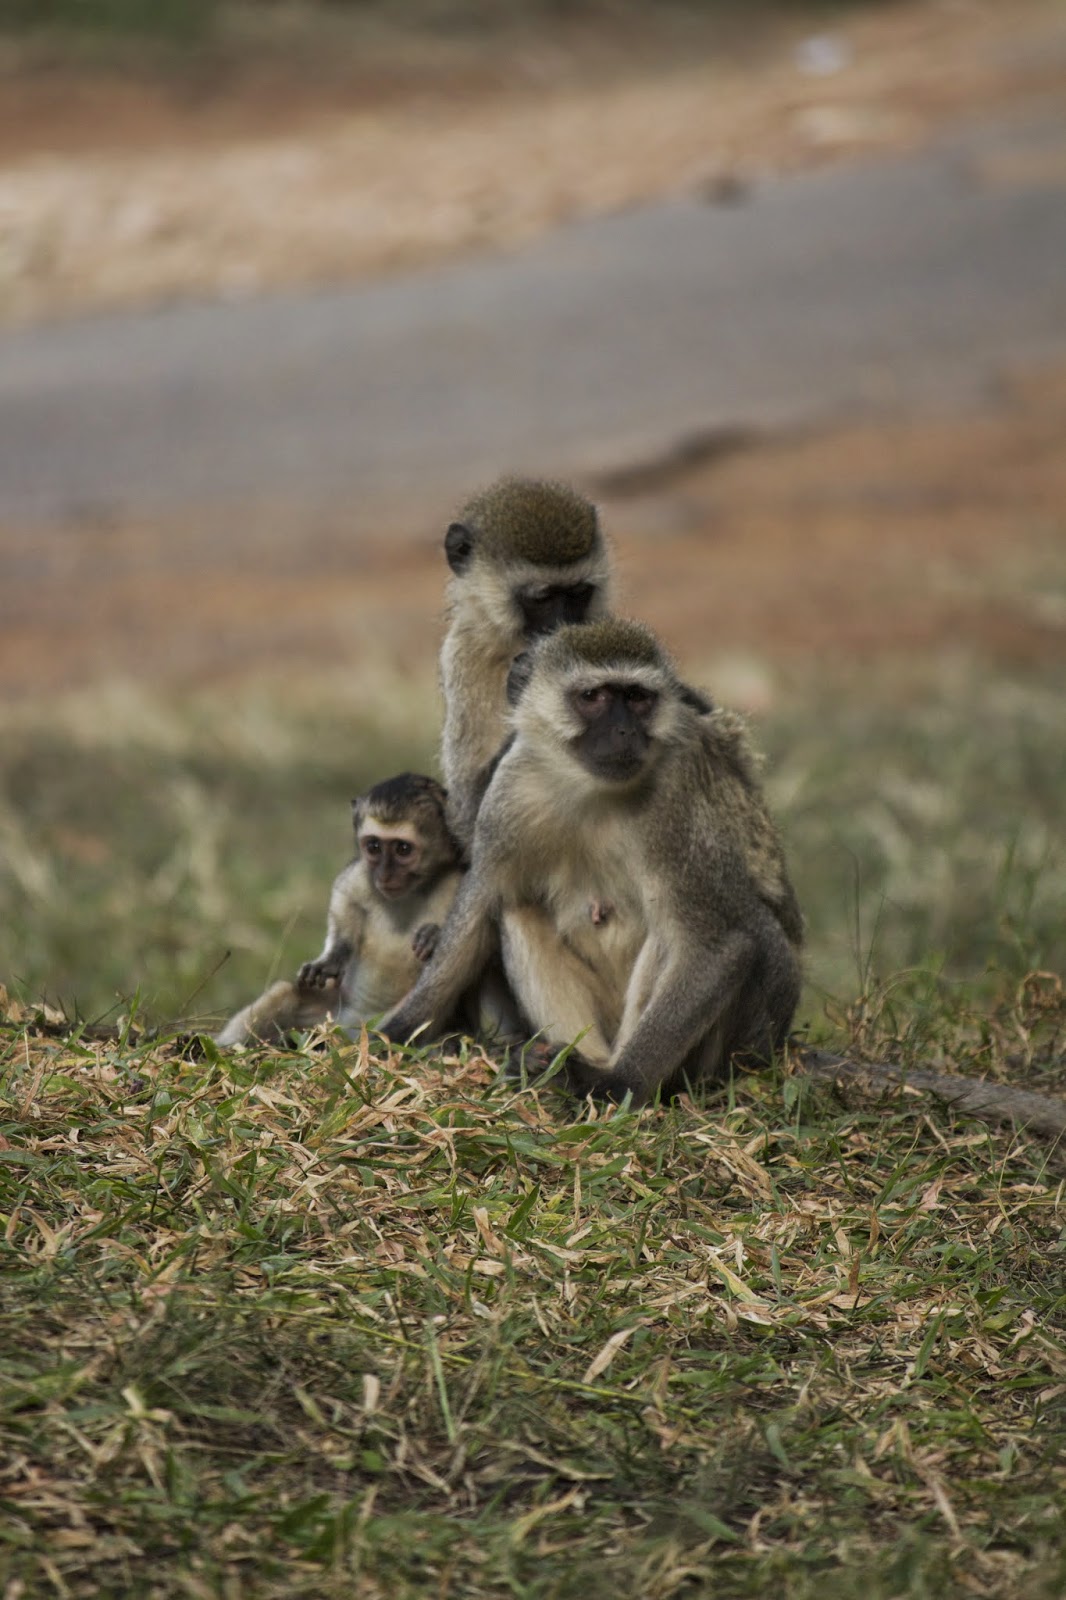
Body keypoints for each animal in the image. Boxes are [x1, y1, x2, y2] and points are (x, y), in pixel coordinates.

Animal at [216, 774, 463, 1048]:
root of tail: (351, 1027)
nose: (385, 875)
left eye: (403, 849)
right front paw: (332, 959)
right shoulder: (362, 873)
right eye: (374, 846)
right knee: (288, 992)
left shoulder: (456, 878)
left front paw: (433, 935)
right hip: (326, 1018)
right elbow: (344, 898)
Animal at [382, 619, 803, 1106]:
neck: (593, 788)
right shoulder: (511, 788)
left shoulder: (675, 799)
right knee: (516, 908)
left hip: (744, 1038)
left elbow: (719, 944)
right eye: (593, 697)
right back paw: (557, 1062)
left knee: (696, 933)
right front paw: (396, 1031)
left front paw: (622, 1082)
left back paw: (608, 1073)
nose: (624, 732)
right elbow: (480, 905)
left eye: (637, 698)